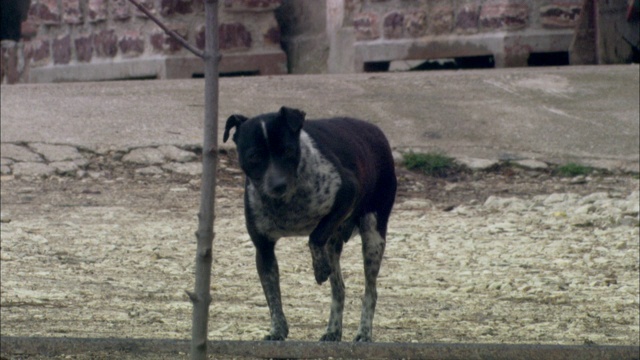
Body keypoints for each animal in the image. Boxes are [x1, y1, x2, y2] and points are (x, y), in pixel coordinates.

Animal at [224, 105, 396, 342]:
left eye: (288, 150)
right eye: (254, 156)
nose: (278, 185)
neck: (287, 202)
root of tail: (376, 130)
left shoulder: (347, 193)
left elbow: (315, 236)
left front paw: (319, 268)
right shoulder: (264, 248)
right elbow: (272, 295)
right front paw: (277, 330)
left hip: (373, 236)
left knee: (371, 291)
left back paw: (364, 332)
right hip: (335, 245)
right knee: (339, 289)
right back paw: (333, 331)